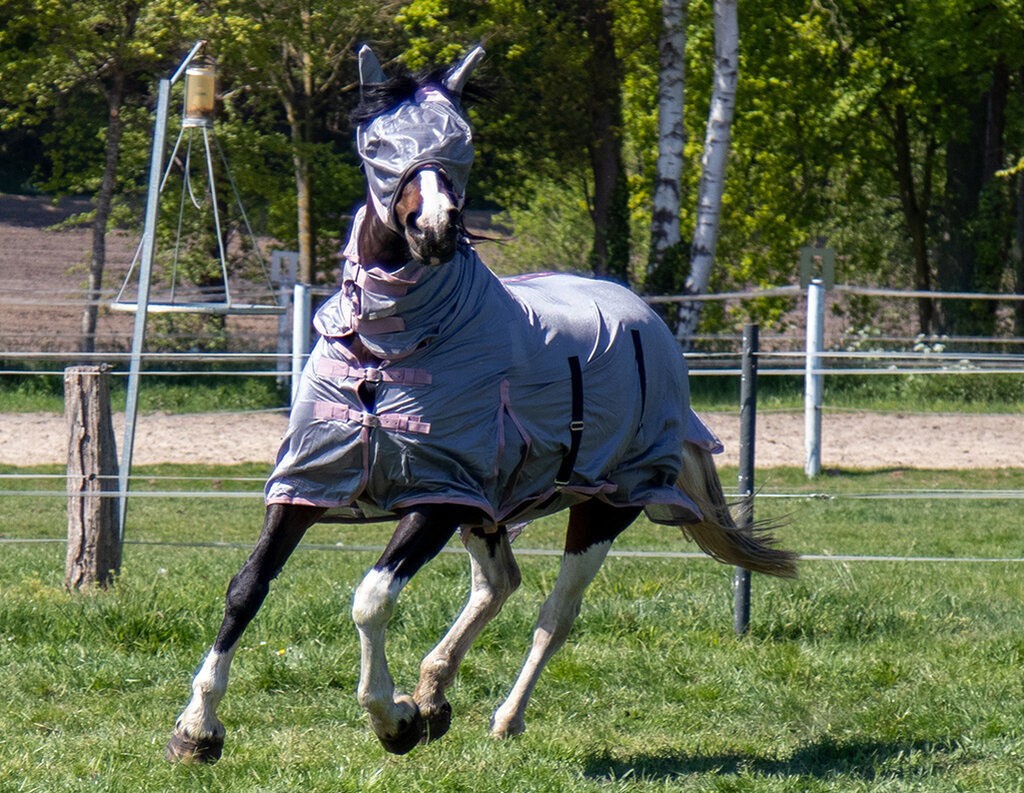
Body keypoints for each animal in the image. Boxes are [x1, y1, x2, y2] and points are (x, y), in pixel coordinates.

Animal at [165, 44, 796, 763]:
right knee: (499, 584)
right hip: (492, 509)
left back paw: (502, 717)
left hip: (605, 505)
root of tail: (648, 319)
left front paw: (393, 719)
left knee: (554, 614)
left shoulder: (439, 497)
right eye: (377, 142)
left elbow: (371, 599)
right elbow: (246, 587)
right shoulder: (307, 485)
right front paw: (197, 727)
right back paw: (436, 691)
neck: (385, 354)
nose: (436, 228)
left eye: (462, 141)